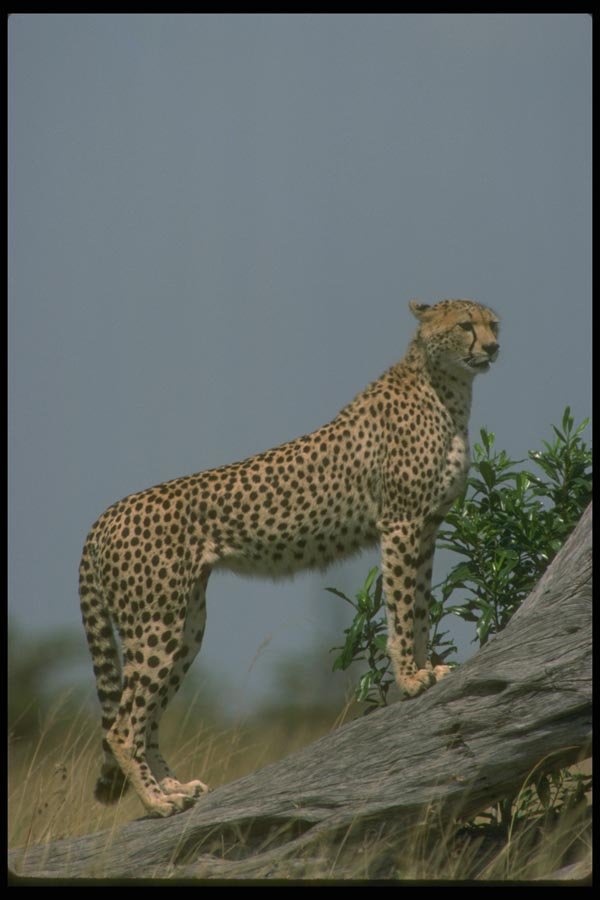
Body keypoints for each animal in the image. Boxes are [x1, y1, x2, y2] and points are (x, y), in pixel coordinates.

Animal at [79, 298, 500, 817]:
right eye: (465, 325)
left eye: (493, 323)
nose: (493, 347)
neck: (446, 386)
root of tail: (107, 515)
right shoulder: (401, 524)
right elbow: (402, 610)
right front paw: (412, 678)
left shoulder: (426, 527)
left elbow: (419, 608)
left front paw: (427, 670)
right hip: (155, 624)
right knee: (123, 725)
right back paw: (157, 802)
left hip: (185, 625)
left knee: (149, 718)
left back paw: (175, 788)